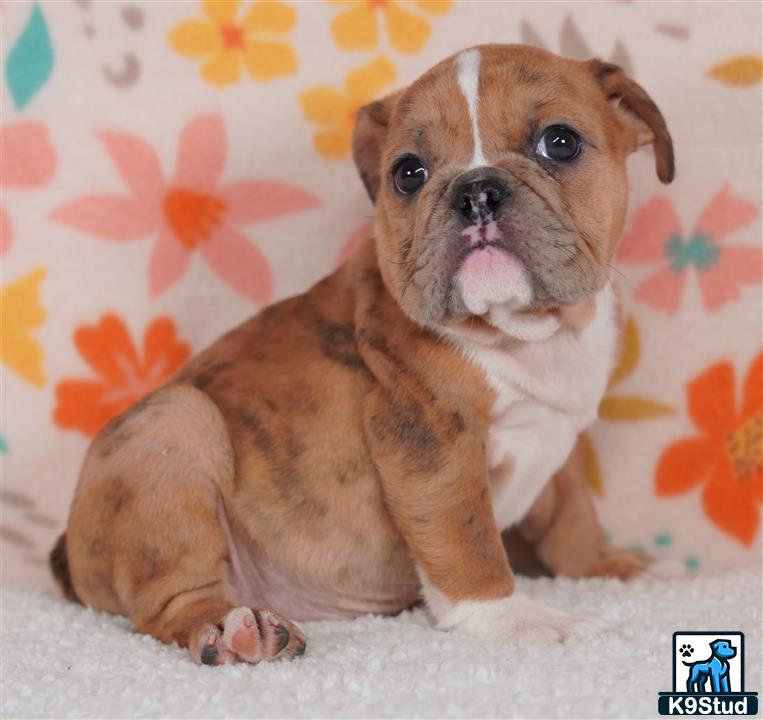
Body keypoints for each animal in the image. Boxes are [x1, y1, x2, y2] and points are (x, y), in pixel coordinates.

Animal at [52, 43, 676, 664]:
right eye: (408, 174)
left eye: (560, 142)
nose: (475, 189)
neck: (527, 332)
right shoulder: (431, 444)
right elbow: (468, 539)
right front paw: (519, 619)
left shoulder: (561, 441)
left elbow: (573, 517)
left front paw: (610, 568)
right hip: (173, 423)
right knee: (172, 601)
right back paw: (236, 627)